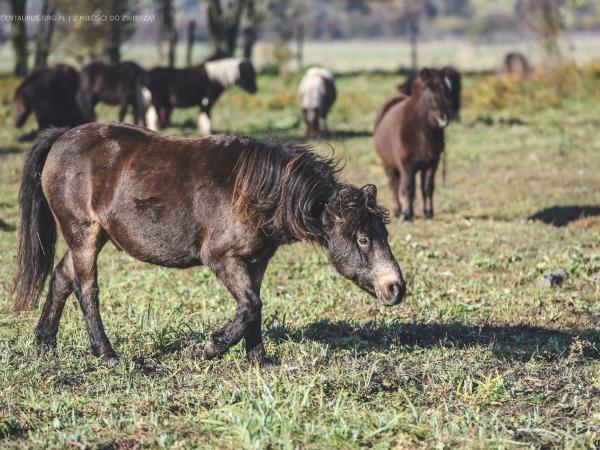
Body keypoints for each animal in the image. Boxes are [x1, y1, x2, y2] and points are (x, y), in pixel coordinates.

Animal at [14, 122, 406, 366]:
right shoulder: (222, 258)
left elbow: (255, 307)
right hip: (84, 233)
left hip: (92, 236)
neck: (259, 191)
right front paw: (208, 348)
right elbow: (249, 306)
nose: (396, 288)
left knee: (62, 278)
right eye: (364, 239)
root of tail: (62, 136)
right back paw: (106, 353)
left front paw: (258, 358)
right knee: (86, 288)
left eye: (383, 235)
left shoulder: (255, 261)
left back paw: (45, 343)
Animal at [372, 68, 452, 221]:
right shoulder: (406, 165)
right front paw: (407, 214)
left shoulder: (432, 163)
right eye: (428, 88)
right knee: (394, 185)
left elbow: (427, 187)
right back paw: (398, 210)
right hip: (388, 164)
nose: (444, 118)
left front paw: (428, 213)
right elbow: (407, 188)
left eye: (445, 88)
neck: (422, 132)